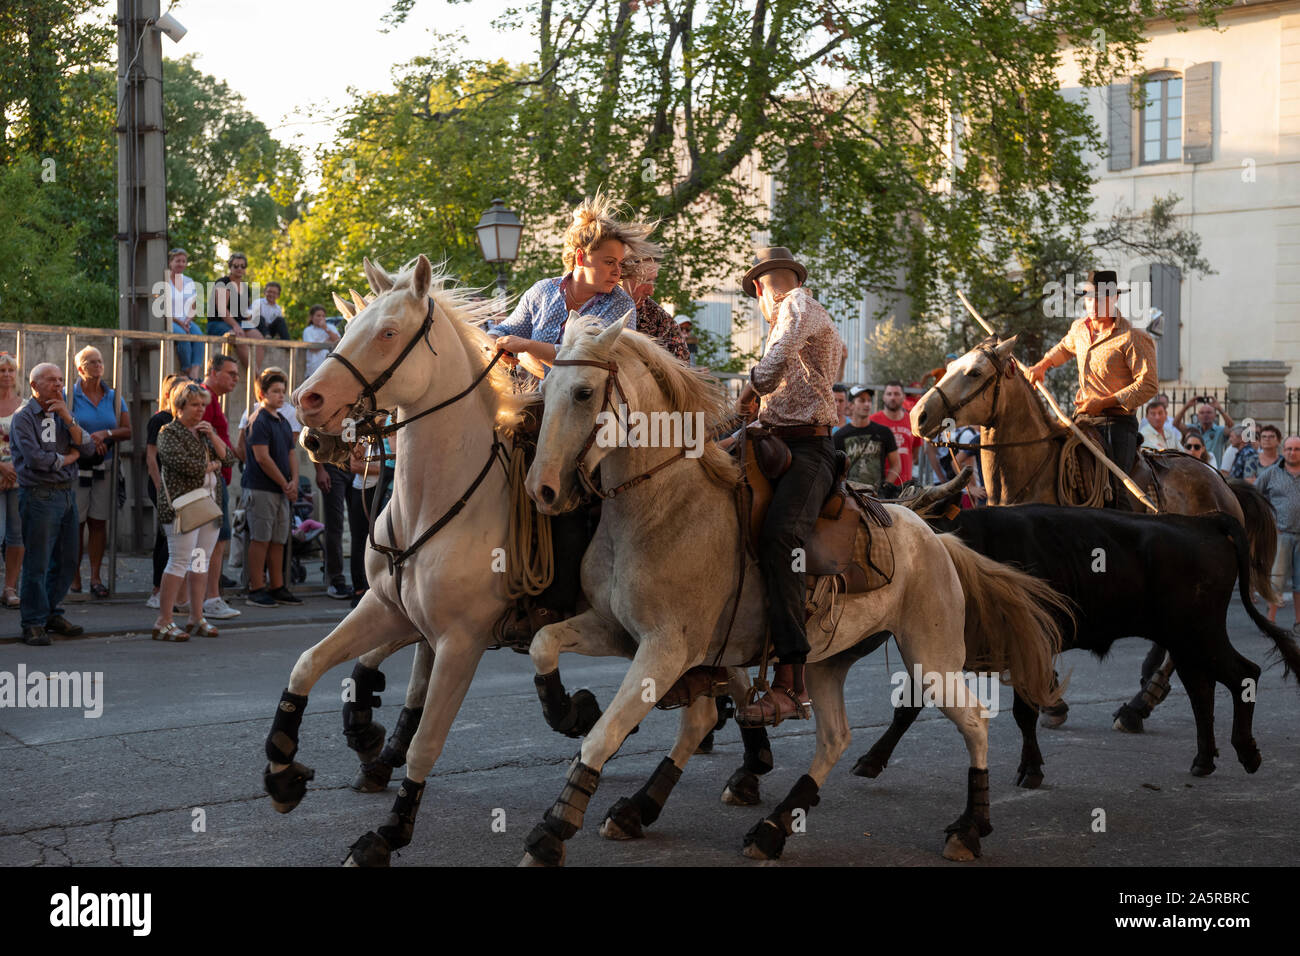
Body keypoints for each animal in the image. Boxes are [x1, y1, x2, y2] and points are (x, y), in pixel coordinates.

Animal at [852, 502, 1300, 785]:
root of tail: (1202, 522)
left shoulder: (1028, 650)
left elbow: (1024, 712)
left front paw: (1031, 769)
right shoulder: (937, 654)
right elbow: (906, 708)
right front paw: (870, 761)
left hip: (1201, 634)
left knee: (1244, 674)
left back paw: (1247, 752)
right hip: (1186, 641)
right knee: (1202, 692)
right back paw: (1204, 760)